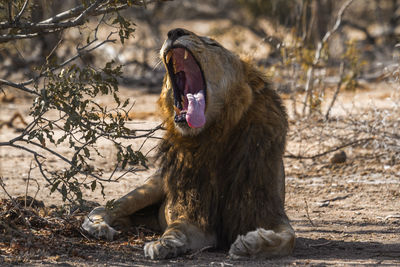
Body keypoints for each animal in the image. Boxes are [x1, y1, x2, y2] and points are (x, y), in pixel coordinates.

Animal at [82, 27, 294, 260]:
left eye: (214, 44)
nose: (175, 31)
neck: (214, 136)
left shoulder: (268, 209)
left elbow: (288, 238)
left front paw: (250, 243)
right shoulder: (194, 214)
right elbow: (177, 228)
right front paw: (164, 244)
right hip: (151, 186)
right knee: (107, 208)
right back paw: (99, 227)